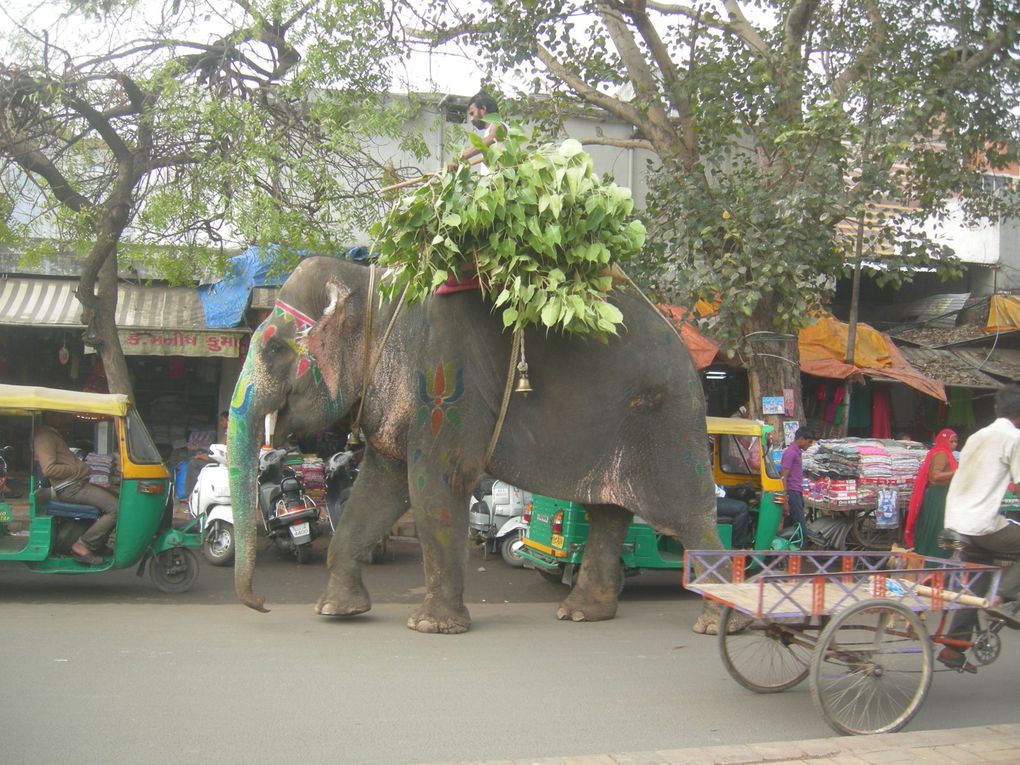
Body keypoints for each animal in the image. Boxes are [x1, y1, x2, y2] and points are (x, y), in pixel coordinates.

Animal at [225, 258, 718, 636]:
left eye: (274, 348)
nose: (262, 604)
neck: (372, 291)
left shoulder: (444, 381)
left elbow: (435, 483)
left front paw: (432, 627)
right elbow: (380, 488)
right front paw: (336, 611)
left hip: (668, 430)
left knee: (686, 516)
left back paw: (713, 621)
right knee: (608, 512)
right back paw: (582, 614)